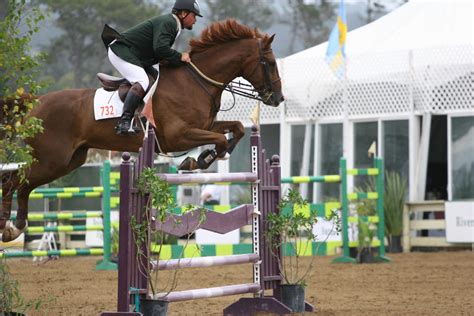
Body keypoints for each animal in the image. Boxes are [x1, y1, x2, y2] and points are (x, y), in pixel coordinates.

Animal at [0, 19, 282, 242]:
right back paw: (8, 227)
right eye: (269, 62)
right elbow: (219, 139)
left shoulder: (203, 125)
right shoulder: (178, 135)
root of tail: (35, 102)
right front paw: (198, 160)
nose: (278, 98)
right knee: (15, 181)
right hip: (51, 159)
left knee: (23, 184)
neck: (196, 81)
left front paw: (207, 157)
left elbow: (236, 129)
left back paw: (16, 227)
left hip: (68, 161)